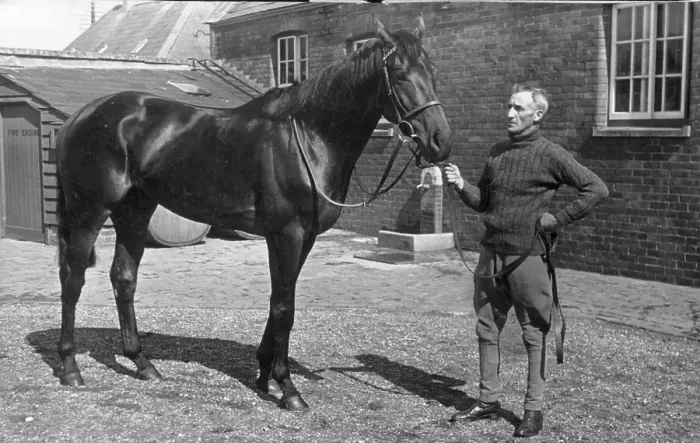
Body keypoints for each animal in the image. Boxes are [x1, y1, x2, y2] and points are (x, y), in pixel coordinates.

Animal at [54, 17, 452, 411]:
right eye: (399, 74)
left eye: (433, 71)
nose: (440, 141)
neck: (309, 137)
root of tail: (81, 116)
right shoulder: (287, 234)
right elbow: (285, 308)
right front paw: (288, 388)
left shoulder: (302, 238)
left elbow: (278, 301)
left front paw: (264, 375)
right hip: (90, 211)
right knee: (73, 279)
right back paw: (71, 368)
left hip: (134, 211)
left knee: (123, 278)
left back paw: (142, 363)